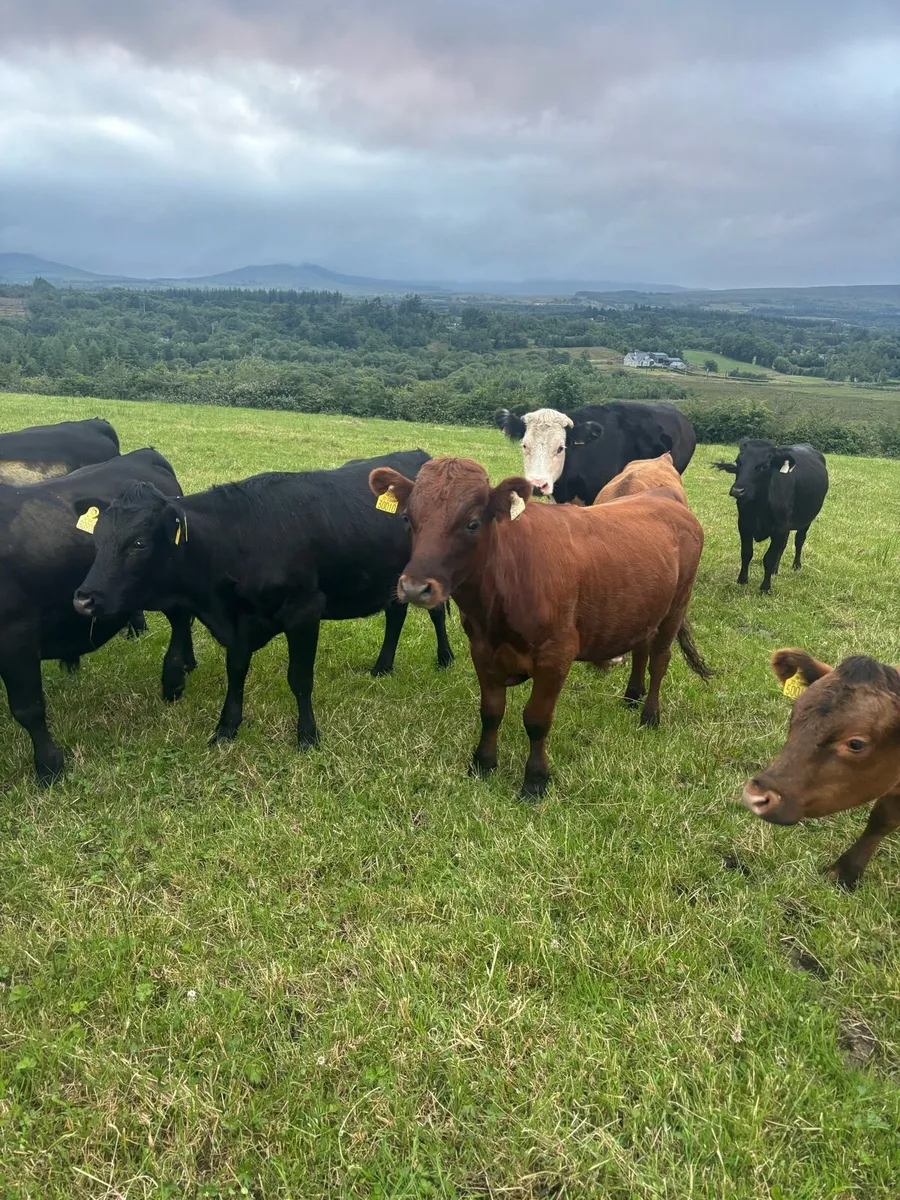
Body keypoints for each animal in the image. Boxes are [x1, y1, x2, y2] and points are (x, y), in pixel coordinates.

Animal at [0, 449, 196, 786]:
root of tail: (144, 454)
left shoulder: (16, 636)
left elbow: (28, 708)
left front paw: (49, 767)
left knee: (182, 625)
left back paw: (174, 681)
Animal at [72, 450, 454, 751]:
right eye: (98, 538)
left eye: (138, 543)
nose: (83, 600)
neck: (239, 539)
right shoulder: (240, 619)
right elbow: (236, 670)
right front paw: (226, 728)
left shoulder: (305, 610)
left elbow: (300, 678)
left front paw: (307, 736)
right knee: (396, 615)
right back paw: (382, 667)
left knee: (435, 613)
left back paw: (445, 658)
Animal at [369, 456, 711, 798]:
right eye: (407, 519)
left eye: (472, 523)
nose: (414, 588)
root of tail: (663, 496)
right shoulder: (481, 649)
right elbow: (491, 711)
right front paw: (483, 763)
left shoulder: (556, 656)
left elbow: (536, 719)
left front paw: (535, 780)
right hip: (645, 608)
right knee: (641, 648)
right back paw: (631, 696)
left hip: (676, 607)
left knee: (660, 660)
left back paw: (650, 715)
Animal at [712, 440, 828, 593]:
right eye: (738, 462)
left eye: (764, 466)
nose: (738, 490)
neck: (759, 507)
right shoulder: (744, 525)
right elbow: (746, 553)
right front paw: (742, 580)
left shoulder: (780, 529)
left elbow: (769, 558)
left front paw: (765, 588)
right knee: (783, 546)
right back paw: (775, 570)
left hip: (806, 520)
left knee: (799, 541)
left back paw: (796, 566)